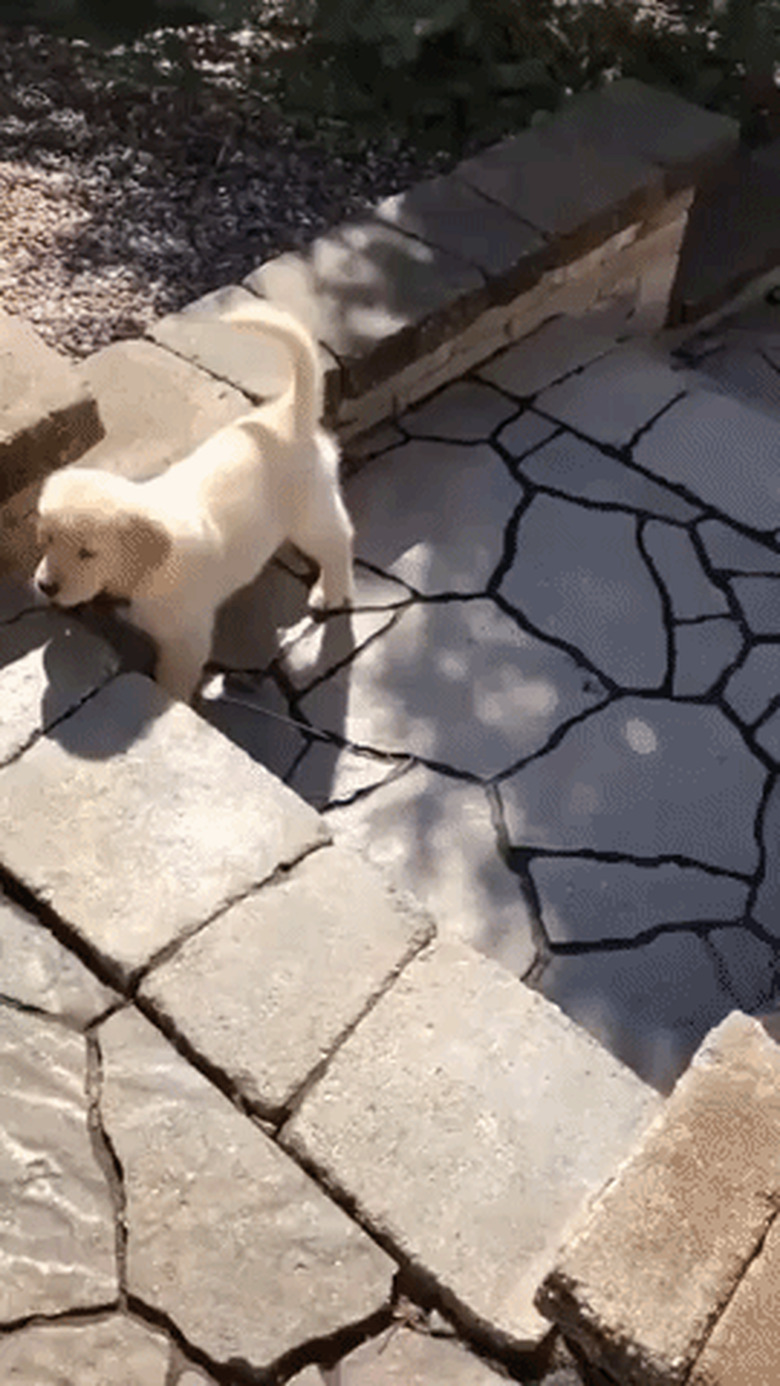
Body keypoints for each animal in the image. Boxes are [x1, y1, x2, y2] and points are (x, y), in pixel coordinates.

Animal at [35, 297, 354, 698]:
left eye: (88, 553)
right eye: (46, 540)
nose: (45, 587)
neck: (145, 571)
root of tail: (287, 413)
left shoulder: (186, 638)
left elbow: (174, 680)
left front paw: (171, 700)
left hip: (309, 511)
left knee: (338, 542)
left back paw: (331, 592)